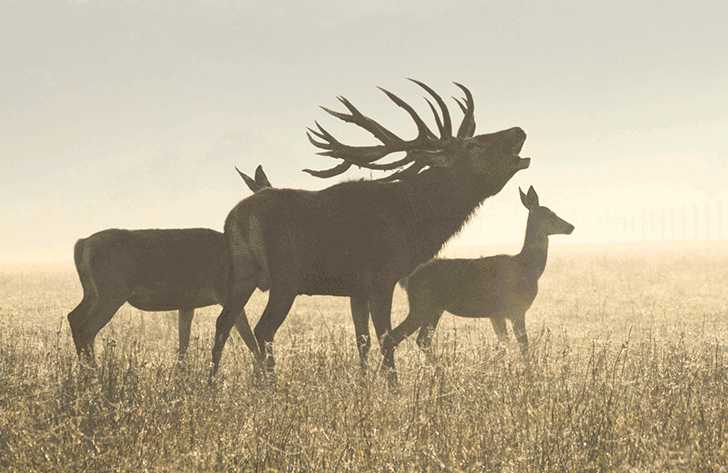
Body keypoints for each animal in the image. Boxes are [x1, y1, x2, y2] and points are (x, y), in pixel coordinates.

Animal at [382, 184, 576, 366]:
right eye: (551, 214)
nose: (571, 227)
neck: (528, 267)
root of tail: (407, 278)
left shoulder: (496, 314)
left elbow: (504, 345)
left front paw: (489, 366)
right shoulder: (517, 308)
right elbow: (523, 347)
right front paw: (529, 372)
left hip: (434, 309)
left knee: (421, 340)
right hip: (422, 304)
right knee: (394, 337)